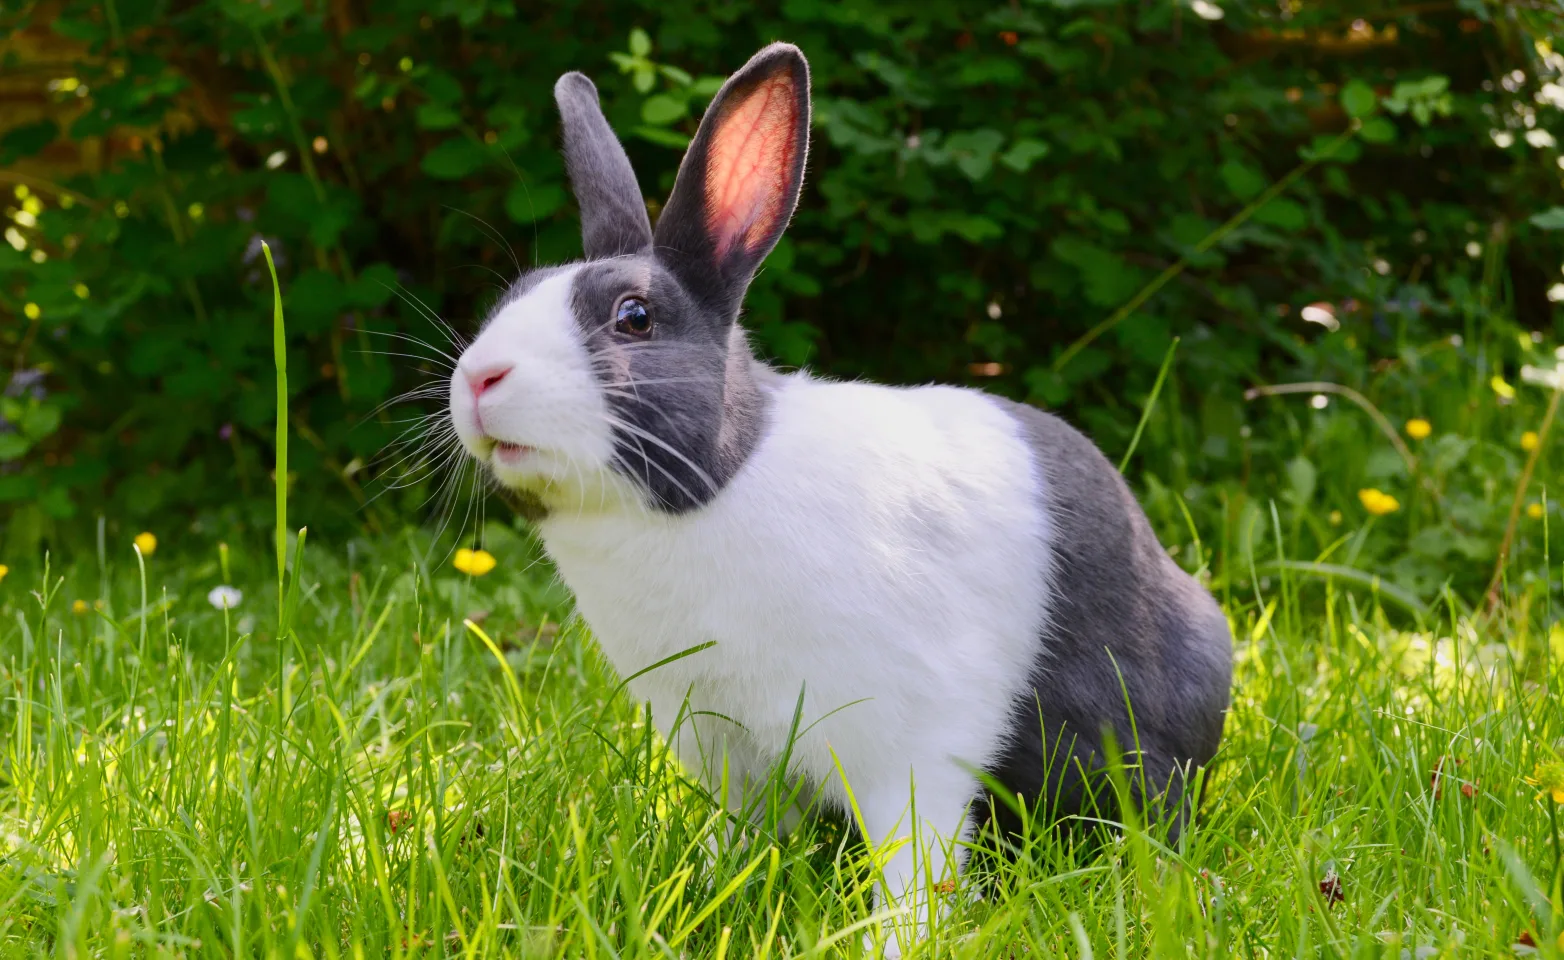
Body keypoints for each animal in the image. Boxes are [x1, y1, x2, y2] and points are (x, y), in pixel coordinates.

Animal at [444, 39, 1232, 956]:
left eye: (633, 317)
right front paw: (705, 891)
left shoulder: (908, 740)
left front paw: (899, 939)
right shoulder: (724, 745)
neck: (716, 488)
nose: (479, 378)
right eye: (510, 298)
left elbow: (915, 854)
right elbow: (740, 836)